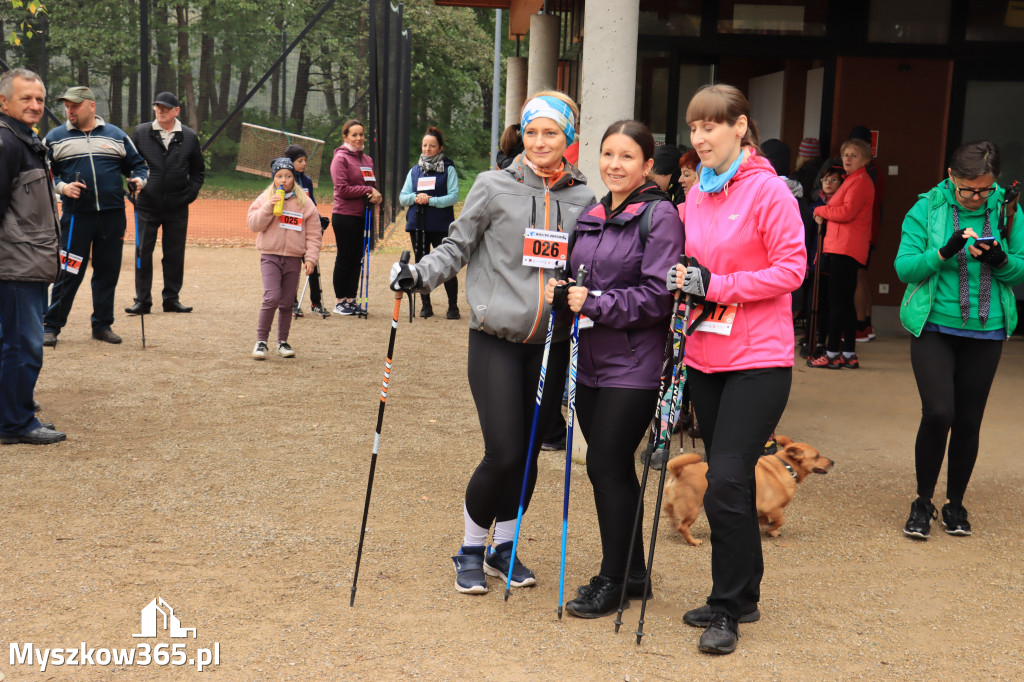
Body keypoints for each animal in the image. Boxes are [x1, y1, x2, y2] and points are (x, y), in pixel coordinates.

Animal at [663, 432, 831, 544]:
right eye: (817, 456)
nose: (833, 462)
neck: (786, 466)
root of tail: (679, 471)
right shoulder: (772, 508)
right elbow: (780, 520)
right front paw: (771, 529)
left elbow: (765, 520)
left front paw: (770, 530)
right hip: (693, 509)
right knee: (683, 526)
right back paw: (692, 541)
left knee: (668, 508)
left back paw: (672, 522)